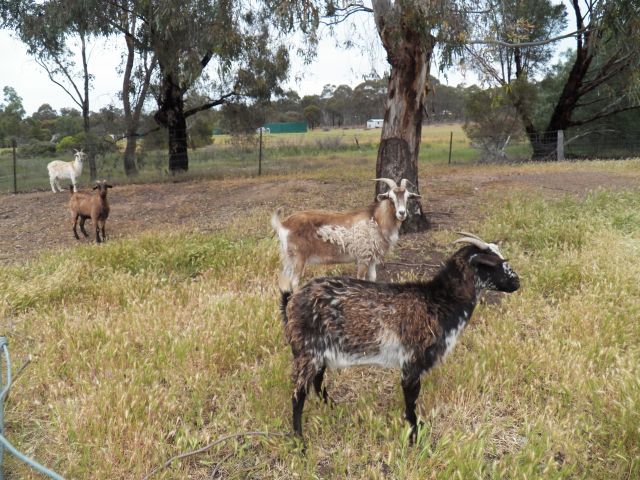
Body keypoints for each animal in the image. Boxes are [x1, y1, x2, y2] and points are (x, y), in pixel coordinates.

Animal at [271, 178, 420, 290]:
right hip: (299, 257)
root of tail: (283, 224)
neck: (376, 220)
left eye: (408, 197)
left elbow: (372, 279)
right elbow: (361, 279)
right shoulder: (363, 257)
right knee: (294, 282)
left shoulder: (372, 258)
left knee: (284, 280)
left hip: (287, 257)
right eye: (390, 197)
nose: (402, 213)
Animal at [280, 234, 520, 443]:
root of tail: (291, 301)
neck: (440, 301)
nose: (517, 282)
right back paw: (300, 441)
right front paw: (415, 434)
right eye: (496, 264)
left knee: (317, 381)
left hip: (319, 352)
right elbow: (411, 398)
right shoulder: (413, 360)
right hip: (307, 351)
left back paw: (332, 407)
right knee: (297, 395)